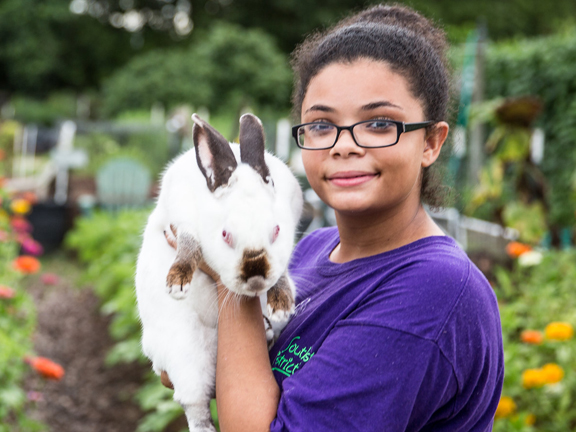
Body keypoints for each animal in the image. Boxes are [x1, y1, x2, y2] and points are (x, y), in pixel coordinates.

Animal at [135, 113, 304, 430]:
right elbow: (189, 245)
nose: (255, 276)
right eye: (225, 234)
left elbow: (283, 268)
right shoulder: (182, 217)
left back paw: (267, 330)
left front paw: (281, 303)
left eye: (276, 230)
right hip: (186, 361)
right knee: (194, 406)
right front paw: (178, 282)